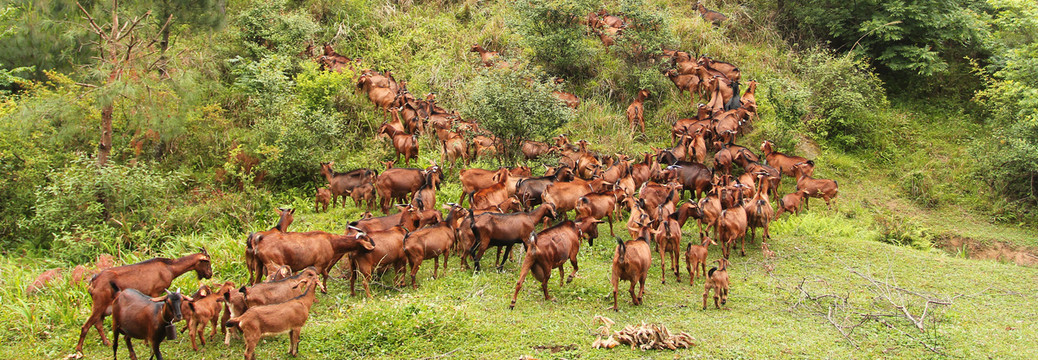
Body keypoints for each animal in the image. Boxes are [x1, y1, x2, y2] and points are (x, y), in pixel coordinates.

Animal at [75, 251, 211, 352]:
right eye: (207, 262)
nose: (210, 274)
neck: (170, 268)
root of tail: (93, 282)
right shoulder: (156, 292)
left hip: (104, 307)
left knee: (98, 324)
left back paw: (106, 342)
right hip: (99, 304)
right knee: (86, 326)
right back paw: (79, 349)